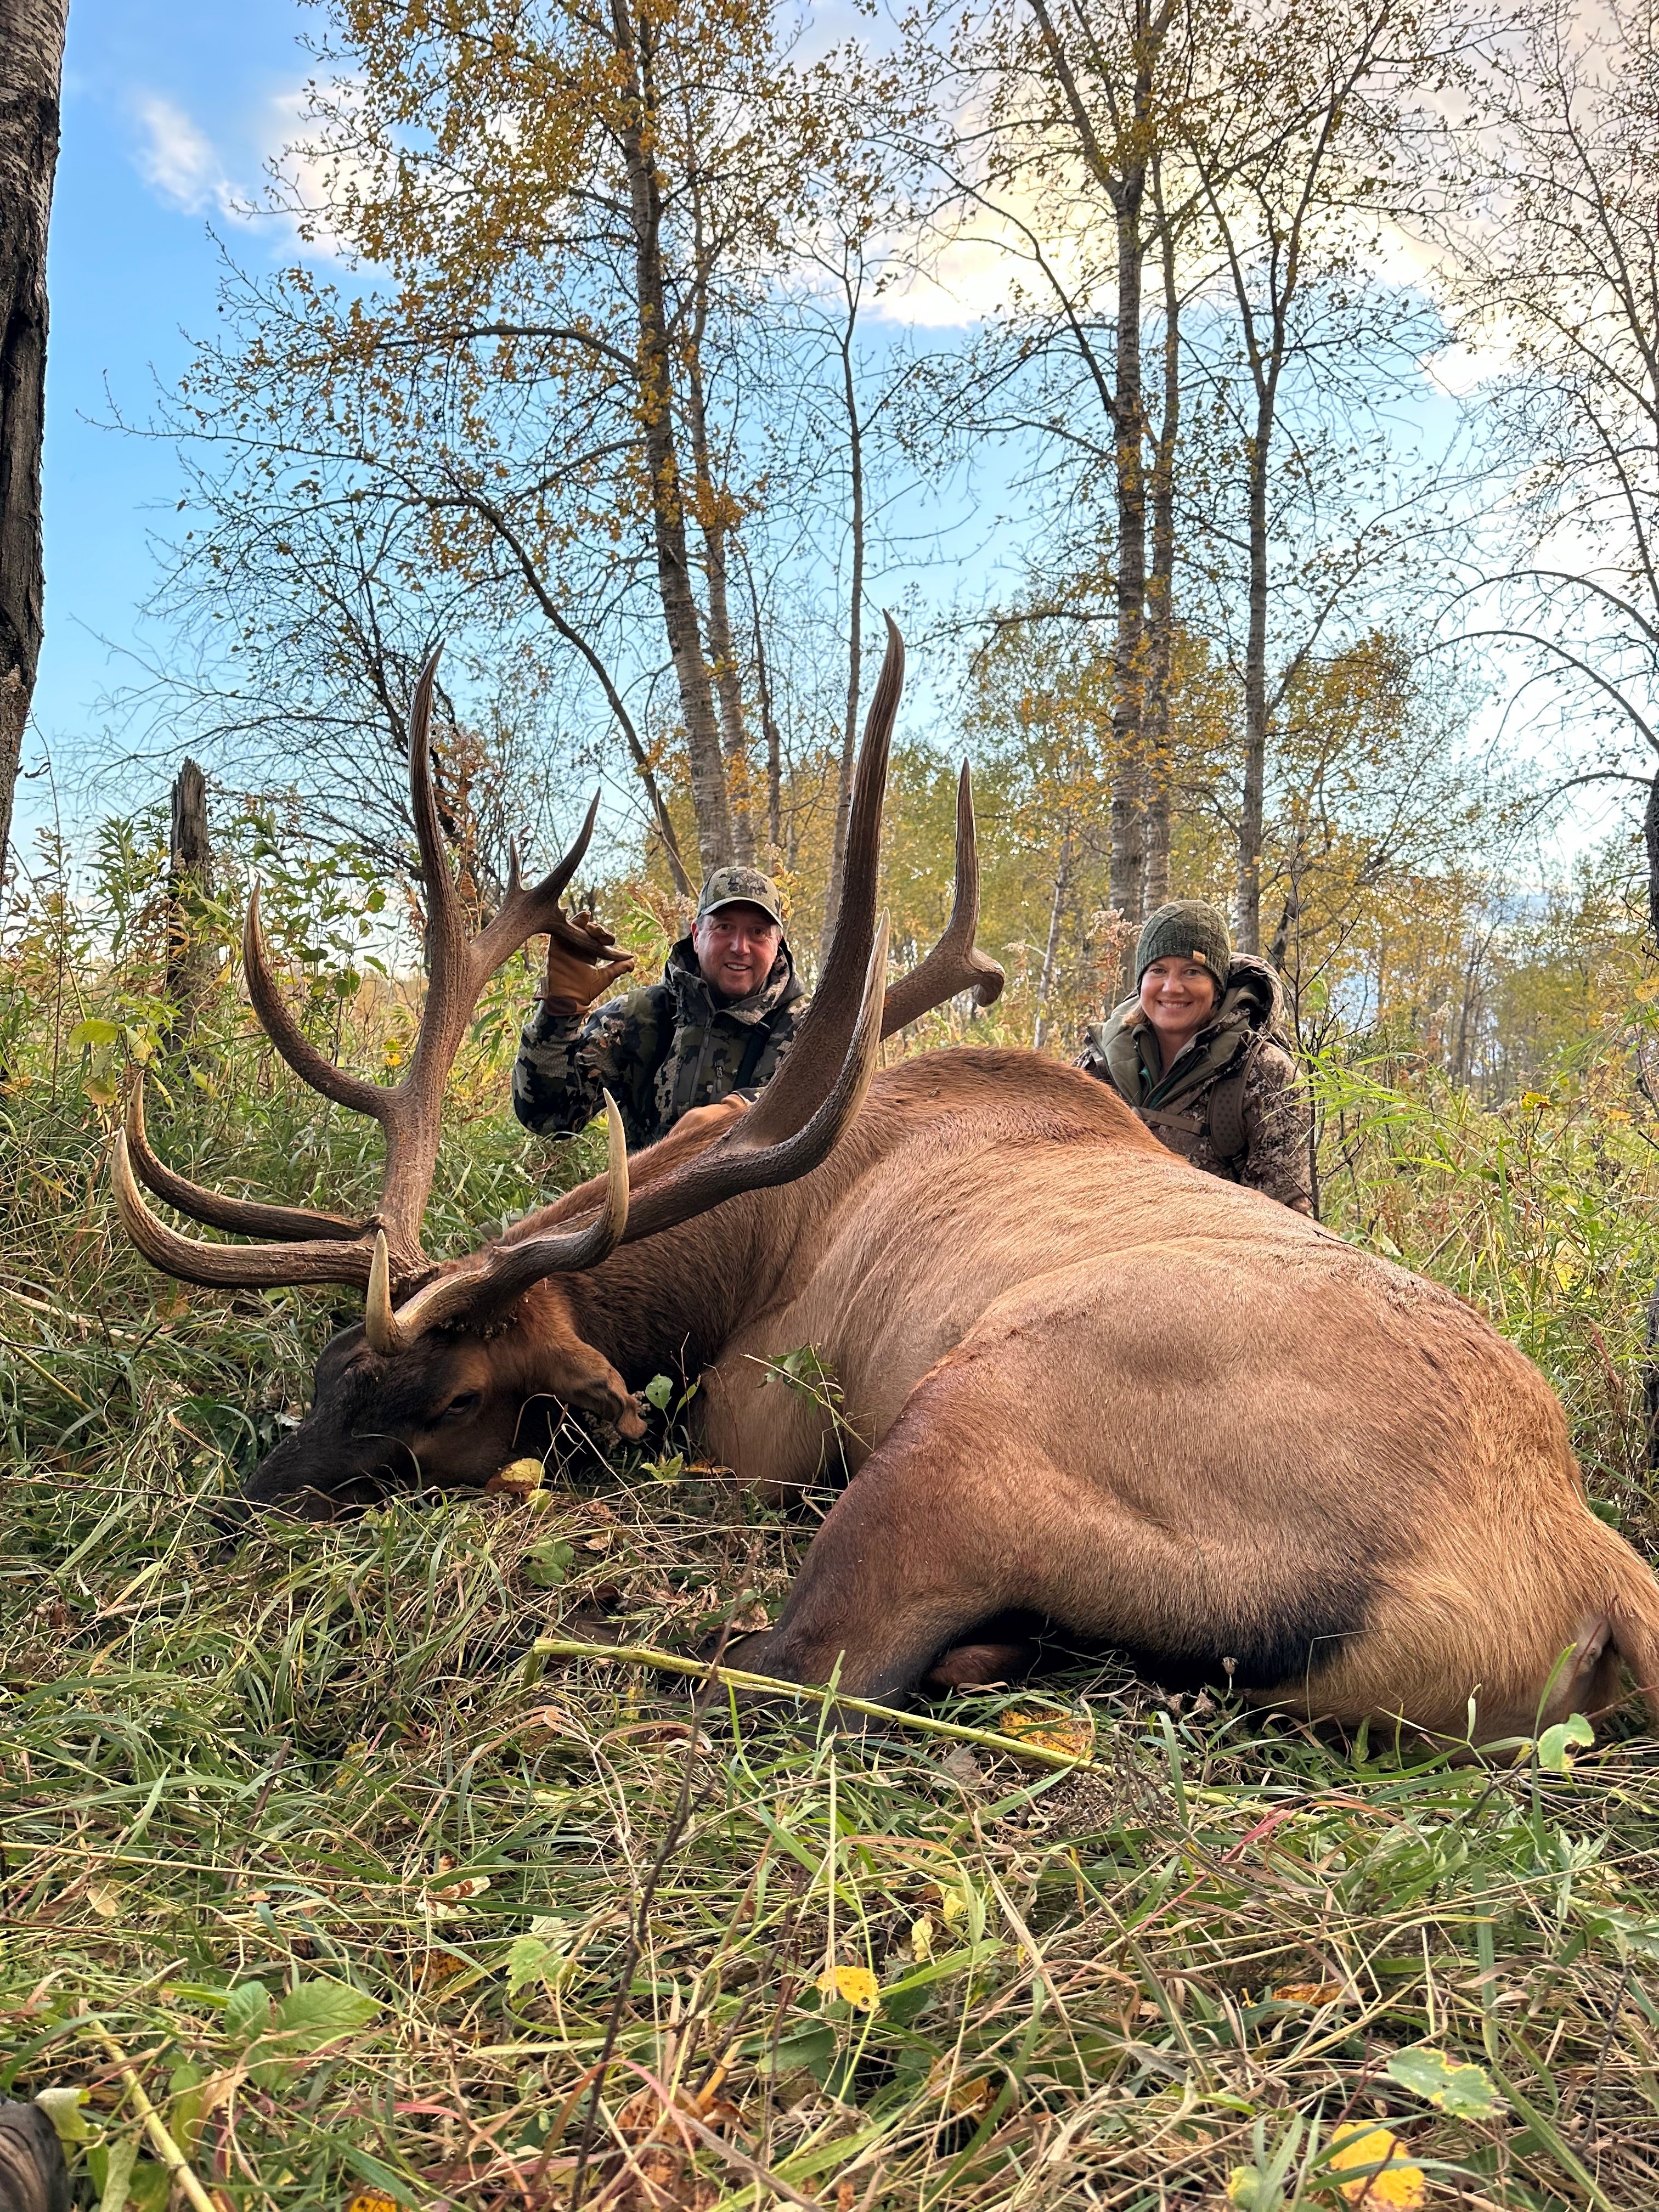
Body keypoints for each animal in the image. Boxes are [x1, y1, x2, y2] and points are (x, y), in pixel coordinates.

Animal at [113, 629, 1659, 1751]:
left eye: (449, 1403)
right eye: (328, 1371)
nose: (243, 1515)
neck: (743, 1245)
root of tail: (1593, 1579)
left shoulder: (757, 1417)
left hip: (970, 1423)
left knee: (792, 1671)